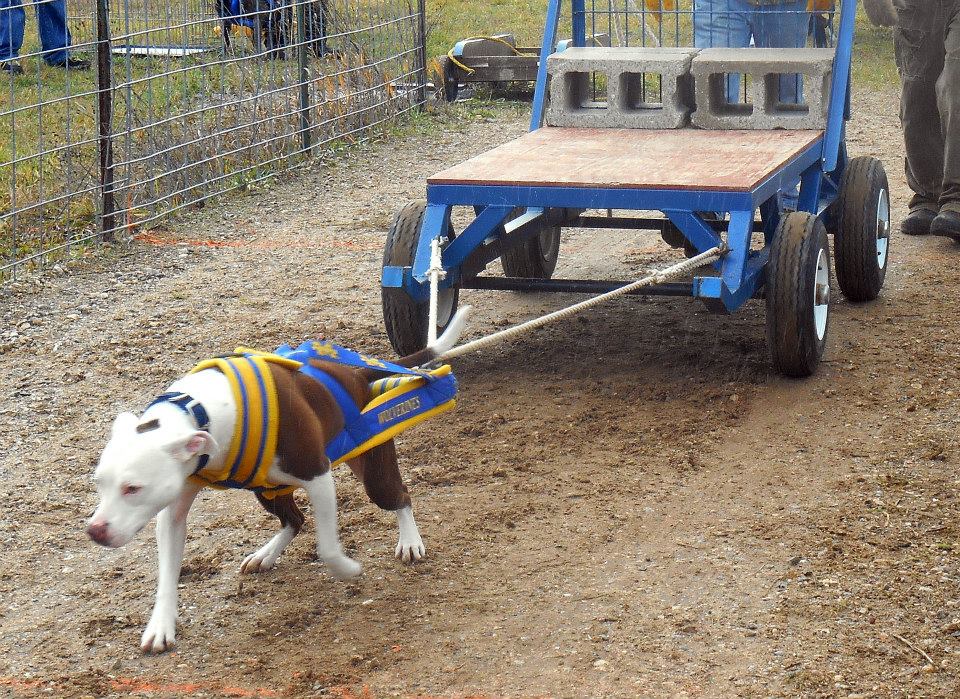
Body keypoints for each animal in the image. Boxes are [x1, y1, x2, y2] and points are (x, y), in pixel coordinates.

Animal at [88, 308, 470, 652]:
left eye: (133, 488)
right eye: (99, 483)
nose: (94, 531)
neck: (197, 409)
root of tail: (356, 374)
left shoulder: (318, 475)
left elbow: (328, 548)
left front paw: (347, 568)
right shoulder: (174, 509)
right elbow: (167, 573)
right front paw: (161, 625)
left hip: (373, 473)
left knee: (400, 496)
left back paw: (410, 541)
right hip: (266, 490)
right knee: (294, 519)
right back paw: (266, 554)